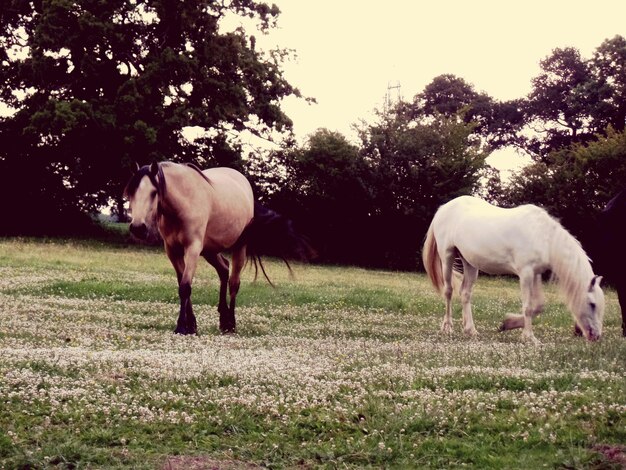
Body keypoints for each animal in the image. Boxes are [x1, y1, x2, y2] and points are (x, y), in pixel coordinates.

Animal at [123, 162, 310, 334]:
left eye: (153, 192)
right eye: (131, 193)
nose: (138, 228)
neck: (184, 202)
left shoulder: (193, 248)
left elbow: (185, 287)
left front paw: (181, 327)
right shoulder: (172, 251)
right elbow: (182, 284)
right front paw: (191, 325)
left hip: (237, 248)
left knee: (234, 282)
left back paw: (231, 324)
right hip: (210, 250)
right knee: (224, 269)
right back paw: (223, 320)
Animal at [422, 196, 604, 346]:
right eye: (592, 304)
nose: (596, 336)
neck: (543, 236)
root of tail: (444, 208)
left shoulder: (535, 274)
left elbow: (538, 306)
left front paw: (508, 324)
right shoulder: (525, 274)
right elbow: (528, 307)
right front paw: (529, 337)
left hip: (470, 263)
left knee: (465, 293)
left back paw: (470, 330)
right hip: (447, 256)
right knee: (448, 291)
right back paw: (447, 327)